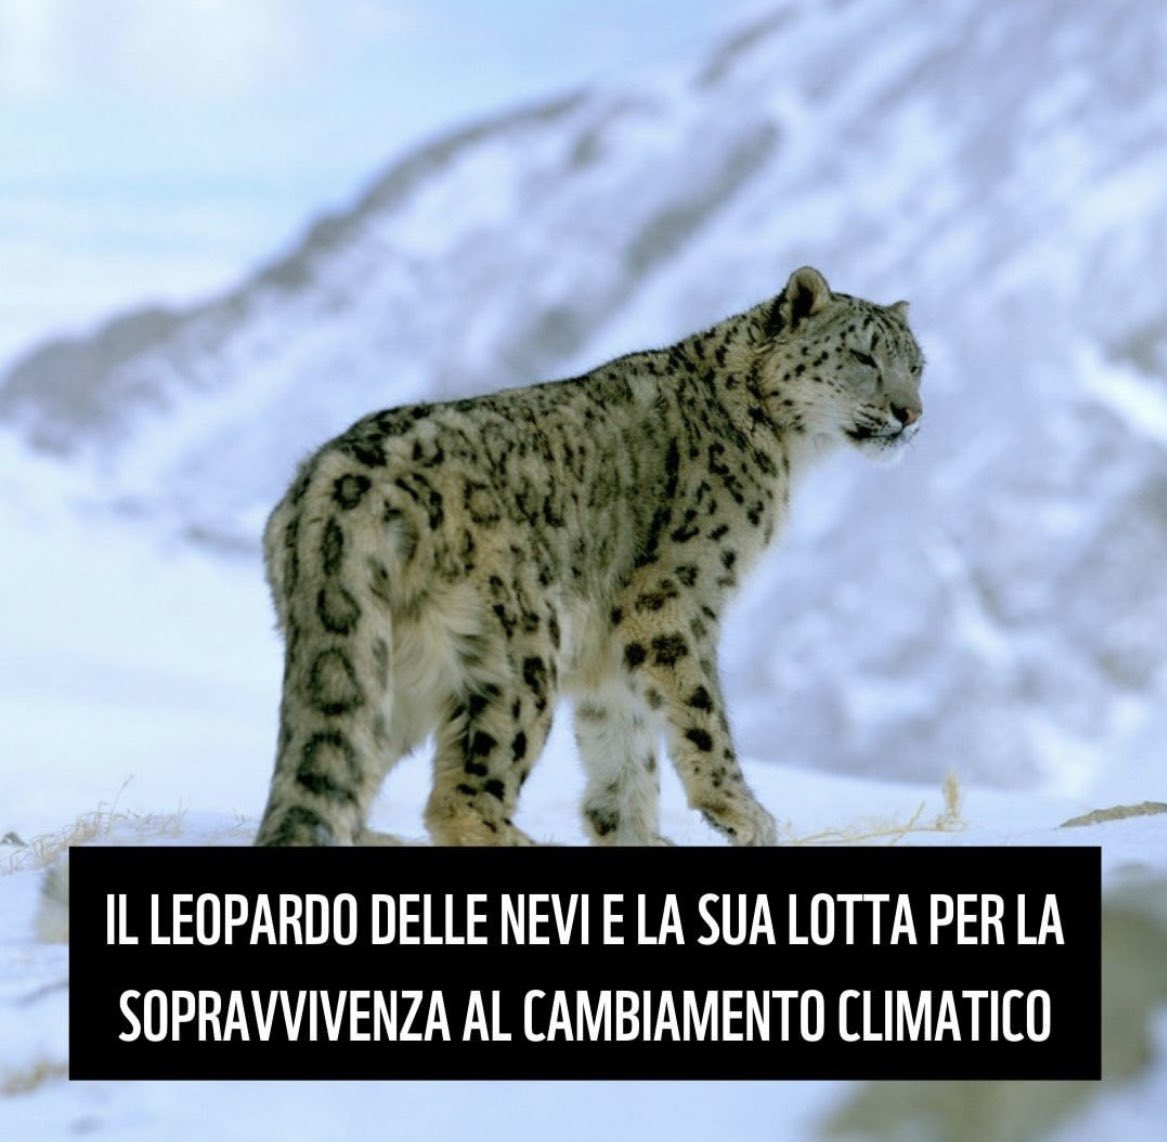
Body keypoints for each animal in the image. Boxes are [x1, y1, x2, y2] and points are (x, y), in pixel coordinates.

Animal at [254, 266, 924, 848]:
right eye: (864, 357)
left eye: (917, 365)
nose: (911, 413)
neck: (786, 452)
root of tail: (334, 484)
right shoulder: (674, 602)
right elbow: (701, 710)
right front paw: (744, 815)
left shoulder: (610, 656)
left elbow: (623, 754)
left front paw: (633, 831)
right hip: (518, 653)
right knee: (461, 799)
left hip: (386, 667)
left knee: (340, 766)